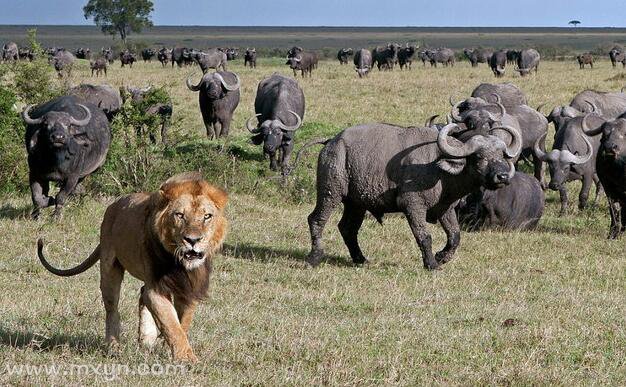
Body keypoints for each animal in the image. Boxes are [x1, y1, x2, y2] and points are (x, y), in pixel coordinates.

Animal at [36, 171, 228, 362]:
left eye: (207, 216)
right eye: (180, 215)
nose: (193, 240)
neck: (178, 263)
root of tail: (113, 204)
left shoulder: (190, 287)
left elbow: (182, 323)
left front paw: (168, 348)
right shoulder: (156, 287)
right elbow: (171, 325)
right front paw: (186, 358)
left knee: (142, 294)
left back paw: (146, 338)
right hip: (109, 267)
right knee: (112, 309)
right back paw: (114, 347)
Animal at [304, 123, 520, 268]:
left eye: (501, 156)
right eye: (479, 157)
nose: (502, 176)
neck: (439, 170)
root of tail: (331, 142)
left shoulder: (446, 208)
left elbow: (455, 236)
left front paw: (442, 257)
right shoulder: (413, 205)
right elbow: (424, 236)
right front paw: (431, 264)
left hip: (356, 203)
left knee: (348, 228)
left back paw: (360, 259)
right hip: (331, 191)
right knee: (316, 219)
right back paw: (314, 258)